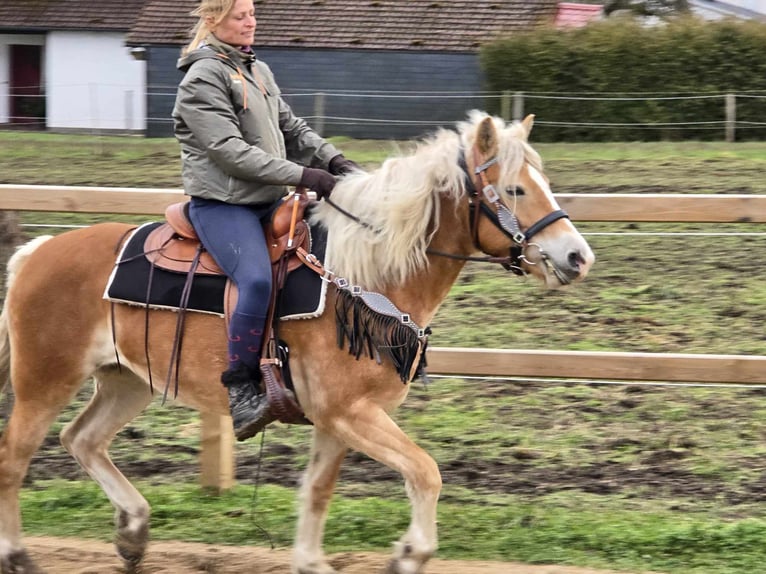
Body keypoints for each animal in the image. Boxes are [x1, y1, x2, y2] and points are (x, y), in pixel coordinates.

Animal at [0, 112, 592, 574]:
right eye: (515, 188)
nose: (577, 256)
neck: (364, 275)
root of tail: (38, 250)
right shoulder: (350, 411)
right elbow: (426, 471)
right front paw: (409, 553)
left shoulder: (339, 418)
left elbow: (318, 489)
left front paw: (311, 560)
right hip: (45, 380)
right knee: (14, 458)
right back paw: (20, 555)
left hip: (127, 381)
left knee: (81, 440)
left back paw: (134, 532)